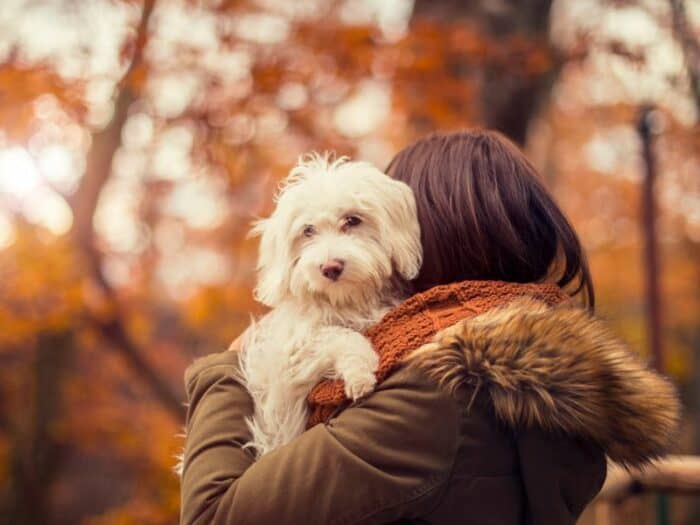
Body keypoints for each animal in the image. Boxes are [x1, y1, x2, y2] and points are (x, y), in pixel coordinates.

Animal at [238, 151, 422, 454]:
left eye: (352, 220)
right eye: (308, 231)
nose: (330, 267)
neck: (347, 300)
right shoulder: (291, 356)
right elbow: (340, 336)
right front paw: (359, 375)